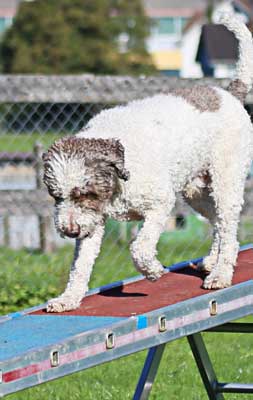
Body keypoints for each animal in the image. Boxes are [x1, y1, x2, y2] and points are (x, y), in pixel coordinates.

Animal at [43, 13, 253, 312]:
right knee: (221, 225)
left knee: (227, 223)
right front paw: (68, 299)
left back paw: (221, 273)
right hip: (196, 190)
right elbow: (80, 266)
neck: (120, 178)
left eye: (86, 193)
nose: (70, 231)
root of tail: (229, 94)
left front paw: (153, 270)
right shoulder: (93, 220)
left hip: (226, 179)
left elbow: (139, 247)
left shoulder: (159, 204)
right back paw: (212, 260)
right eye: (56, 196)